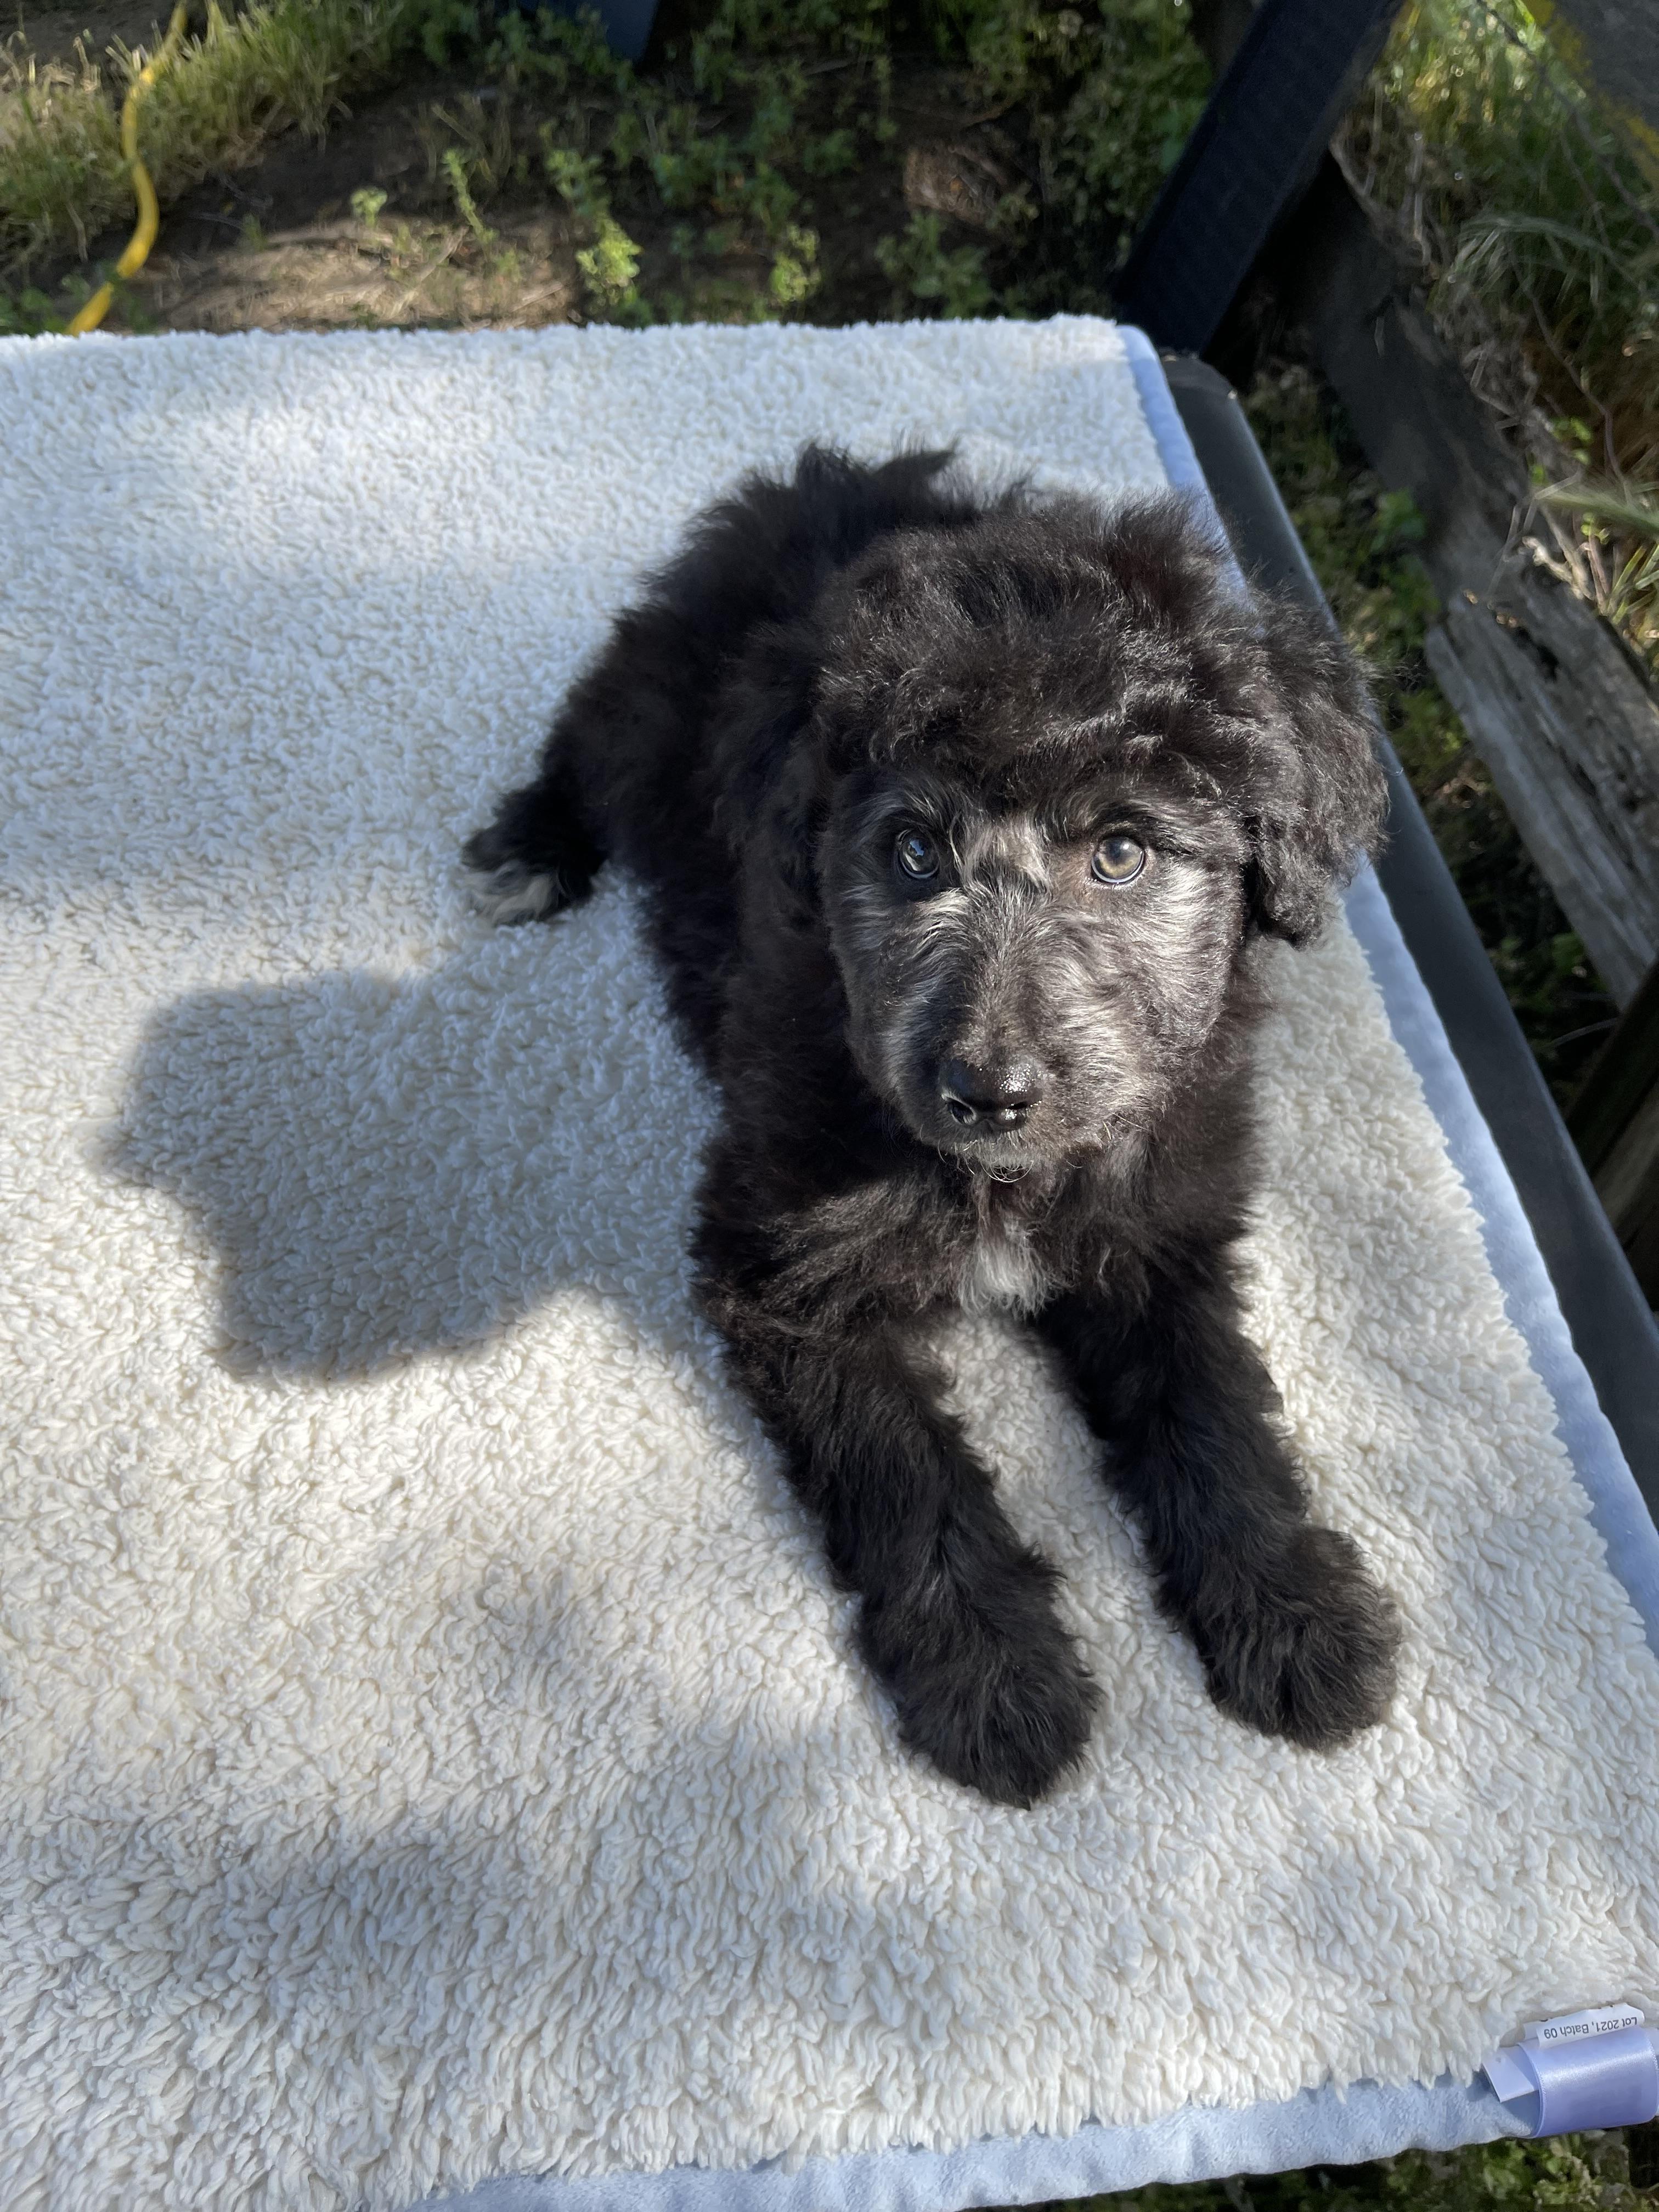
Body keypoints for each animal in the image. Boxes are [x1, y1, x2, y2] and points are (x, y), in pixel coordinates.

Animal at [464, 445, 1401, 1807]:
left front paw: (1296, 1613)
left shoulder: (1163, 1227)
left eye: (1123, 852)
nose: (986, 1092)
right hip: (651, 701)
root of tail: (826, 475)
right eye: (911, 849)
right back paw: (529, 841)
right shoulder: (788, 1267)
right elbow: (907, 1468)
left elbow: (1215, 1406)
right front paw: (999, 1681)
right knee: (586, 737)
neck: (997, 1179)